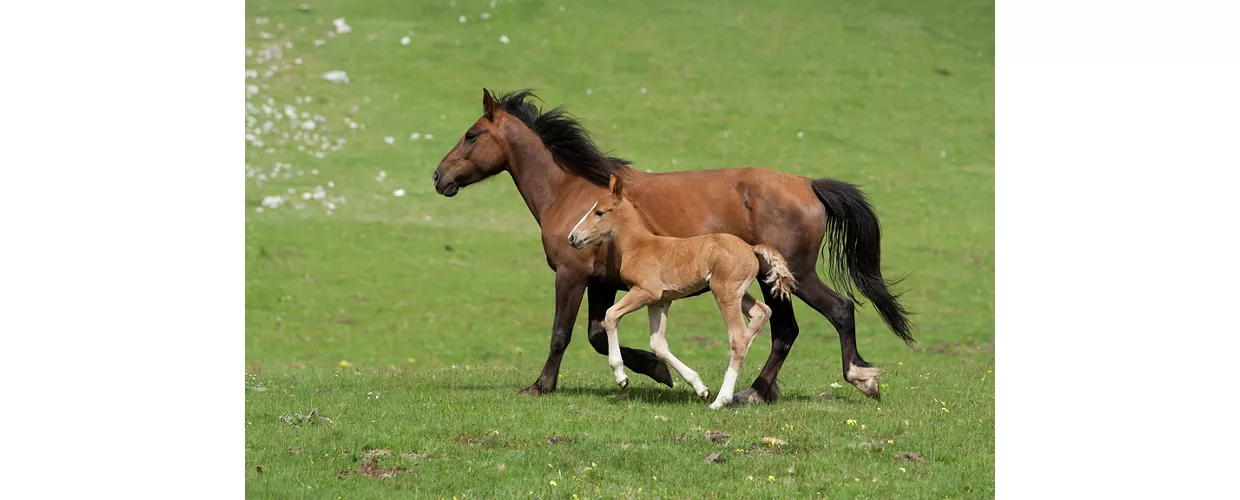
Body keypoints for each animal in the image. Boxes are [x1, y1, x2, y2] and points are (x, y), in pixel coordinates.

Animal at [567, 174, 799, 409]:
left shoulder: (645, 292)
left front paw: (621, 377)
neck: (639, 246)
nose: (572, 237)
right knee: (760, 313)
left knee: (738, 337)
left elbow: (610, 315)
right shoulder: (659, 301)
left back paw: (721, 400)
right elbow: (658, 343)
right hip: (736, 293)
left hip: (724, 292)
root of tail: (752, 249)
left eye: (599, 212)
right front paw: (700, 387)